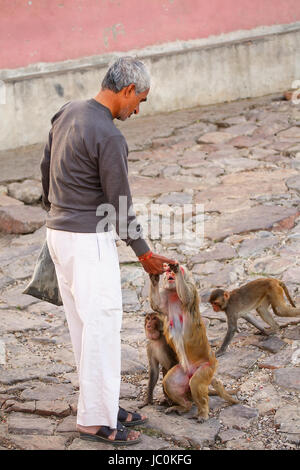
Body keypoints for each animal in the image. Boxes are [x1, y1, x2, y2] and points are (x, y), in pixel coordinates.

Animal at [149, 262, 238, 420]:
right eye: (166, 272)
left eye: (177, 270)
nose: (170, 272)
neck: (173, 294)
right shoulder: (165, 296)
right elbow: (156, 305)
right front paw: (154, 278)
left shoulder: (191, 289)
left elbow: (186, 297)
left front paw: (176, 270)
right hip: (184, 371)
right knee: (170, 382)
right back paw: (184, 406)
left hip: (206, 367)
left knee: (196, 382)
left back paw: (203, 413)